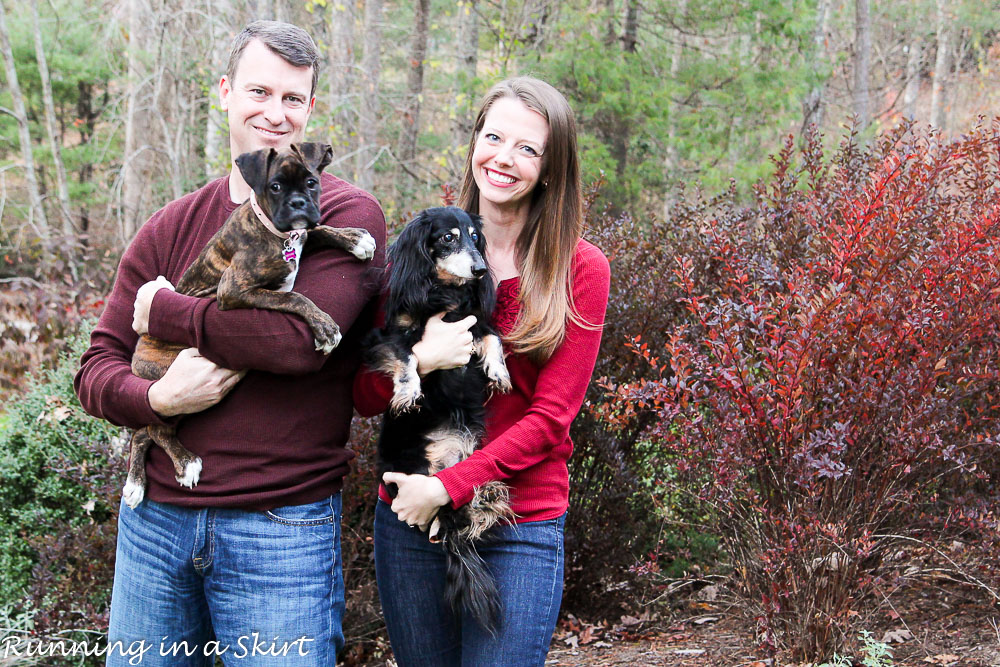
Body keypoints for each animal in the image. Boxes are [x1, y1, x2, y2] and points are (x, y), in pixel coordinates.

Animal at [364, 206, 512, 636]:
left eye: (475, 236)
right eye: (448, 238)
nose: (480, 270)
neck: (445, 294)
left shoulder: (473, 322)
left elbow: (493, 337)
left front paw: (498, 372)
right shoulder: (387, 336)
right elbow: (409, 356)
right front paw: (408, 392)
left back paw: (487, 496)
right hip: (414, 465)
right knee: (441, 517)